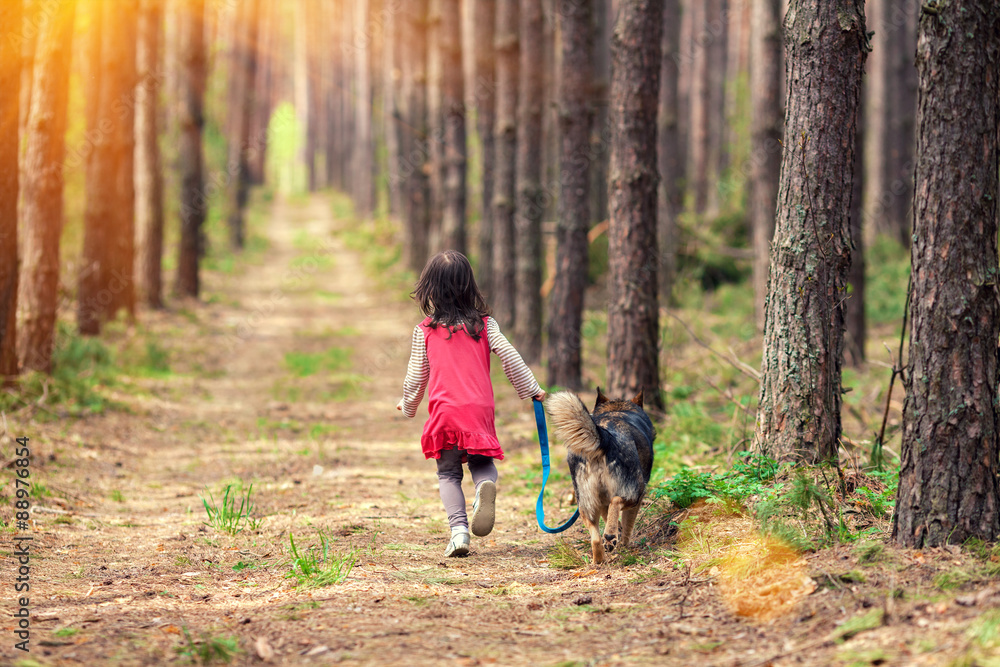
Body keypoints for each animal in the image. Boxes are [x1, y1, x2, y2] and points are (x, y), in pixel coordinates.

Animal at [548, 388, 656, 568]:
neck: (617, 410)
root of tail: (605, 438)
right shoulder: (637, 499)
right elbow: (627, 524)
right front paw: (625, 544)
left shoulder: (603, 502)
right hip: (635, 492)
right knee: (617, 501)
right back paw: (611, 536)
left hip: (586, 504)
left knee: (596, 538)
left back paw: (600, 558)